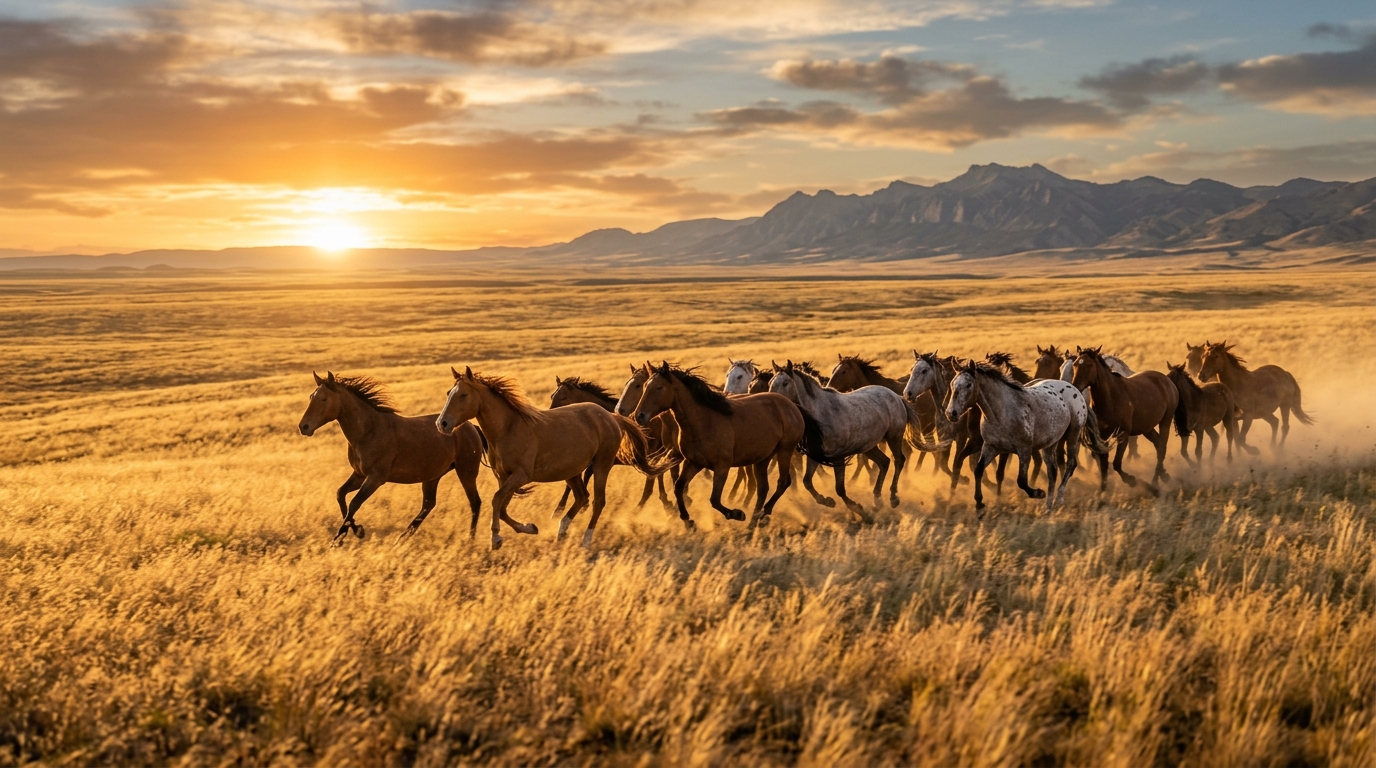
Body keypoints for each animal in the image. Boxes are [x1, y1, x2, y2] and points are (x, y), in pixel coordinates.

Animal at [298, 371, 485, 543]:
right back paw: (402, 538)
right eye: (311, 397)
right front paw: (356, 531)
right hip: (433, 476)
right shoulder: (359, 475)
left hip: (466, 472)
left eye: (324, 399)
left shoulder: (376, 478)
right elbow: (340, 495)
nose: (303, 427)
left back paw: (470, 539)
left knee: (474, 502)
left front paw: (340, 538)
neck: (368, 431)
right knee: (428, 504)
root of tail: (471, 427)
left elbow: (354, 503)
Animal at [631, 362, 803, 529]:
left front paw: (737, 514)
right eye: (645, 385)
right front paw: (688, 521)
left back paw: (763, 514)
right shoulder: (693, 463)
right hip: (763, 458)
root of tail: (791, 406)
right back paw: (753, 522)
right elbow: (678, 487)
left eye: (659, 388)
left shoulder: (722, 466)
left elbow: (714, 499)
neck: (703, 421)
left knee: (783, 482)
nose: (639, 416)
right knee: (763, 488)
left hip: (785, 450)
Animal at [769, 361, 936, 516]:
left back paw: (893, 498)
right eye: (771, 382)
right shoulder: (815, 455)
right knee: (884, 462)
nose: (774, 401)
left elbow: (840, 489)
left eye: (785, 383)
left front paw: (857, 508)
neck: (820, 414)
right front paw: (827, 501)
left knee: (899, 460)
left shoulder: (838, 457)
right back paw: (877, 500)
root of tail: (897, 397)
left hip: (894, 437)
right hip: (869, 447)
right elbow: (807, 481)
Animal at [944, 361, 1107, 512]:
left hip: (1073, 434)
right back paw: (1048, 507)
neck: (1002, 412)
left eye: (969, 385)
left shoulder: (1024, 450)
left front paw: (1038, 493)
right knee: (1052, 472)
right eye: (953, 384)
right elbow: (978, 470)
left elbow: (1021, 480)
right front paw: (979, 504)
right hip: (1050, 444)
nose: (951, 413)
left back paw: (1058, 499)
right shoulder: (991, 447)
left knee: (1071, 464)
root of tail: (1075, 390)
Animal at [1071, 347, 1177, 493]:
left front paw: (1133, 481)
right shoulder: (1102, 436)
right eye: (1075, 364)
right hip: (1147, 428)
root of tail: (1167, 380)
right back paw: (1164, 476)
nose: (1075, 386)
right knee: (1159, 444)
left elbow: (1116, 464)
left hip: (1165, 421)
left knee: (1162, 447)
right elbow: (1103, 463)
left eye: (1090, 365)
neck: (1111, 398)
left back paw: (1155, 483)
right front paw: (1102, 490)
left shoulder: (1123, 435)